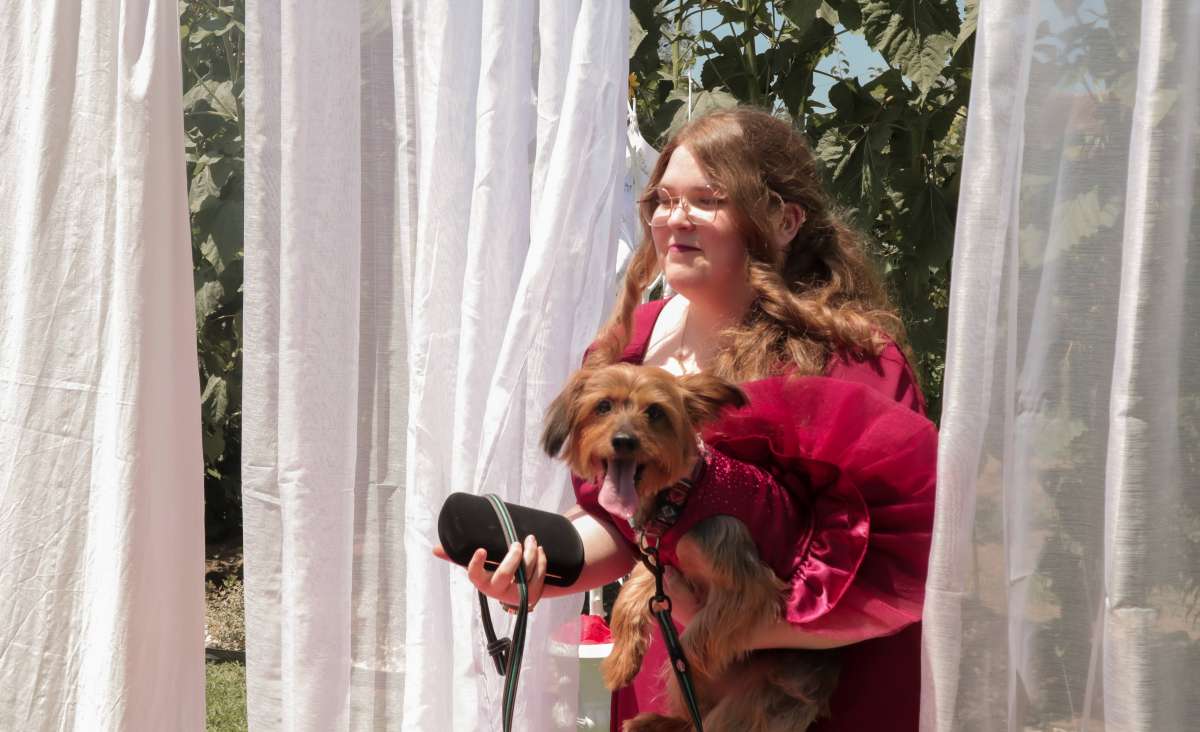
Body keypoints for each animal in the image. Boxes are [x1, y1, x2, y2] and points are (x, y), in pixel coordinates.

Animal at [542, 362, 835, 729]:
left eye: (655, 412)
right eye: (603, 406)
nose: (624, 441)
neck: (681, 496)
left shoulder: (748, 584)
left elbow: (689, 646)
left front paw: (682, 660)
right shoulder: (658, 556)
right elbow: (629, 597)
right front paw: (621, 662)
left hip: (763, 696)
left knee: (708, 713)